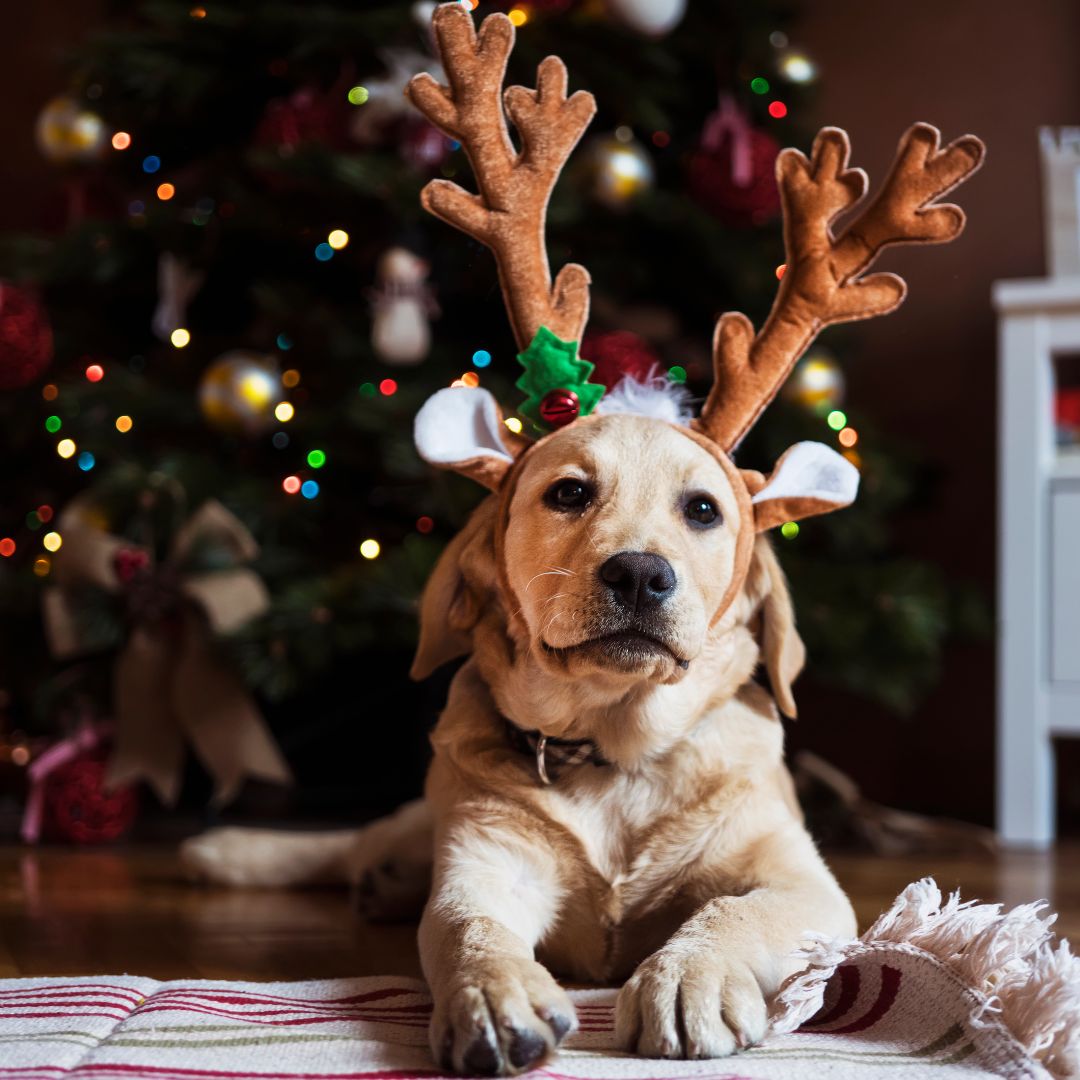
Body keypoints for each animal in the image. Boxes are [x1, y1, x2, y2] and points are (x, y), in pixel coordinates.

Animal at [185, 6, 989, 1071]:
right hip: (421, 822)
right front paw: (493, 1002)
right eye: (568, 492)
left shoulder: (802, 883)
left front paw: (689, 978)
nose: (642, 576)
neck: (615, 754)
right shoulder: (480, 864)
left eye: (705, 511)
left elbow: (731, 913)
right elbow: (465, 928)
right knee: (355, 841)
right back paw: (238, 851)